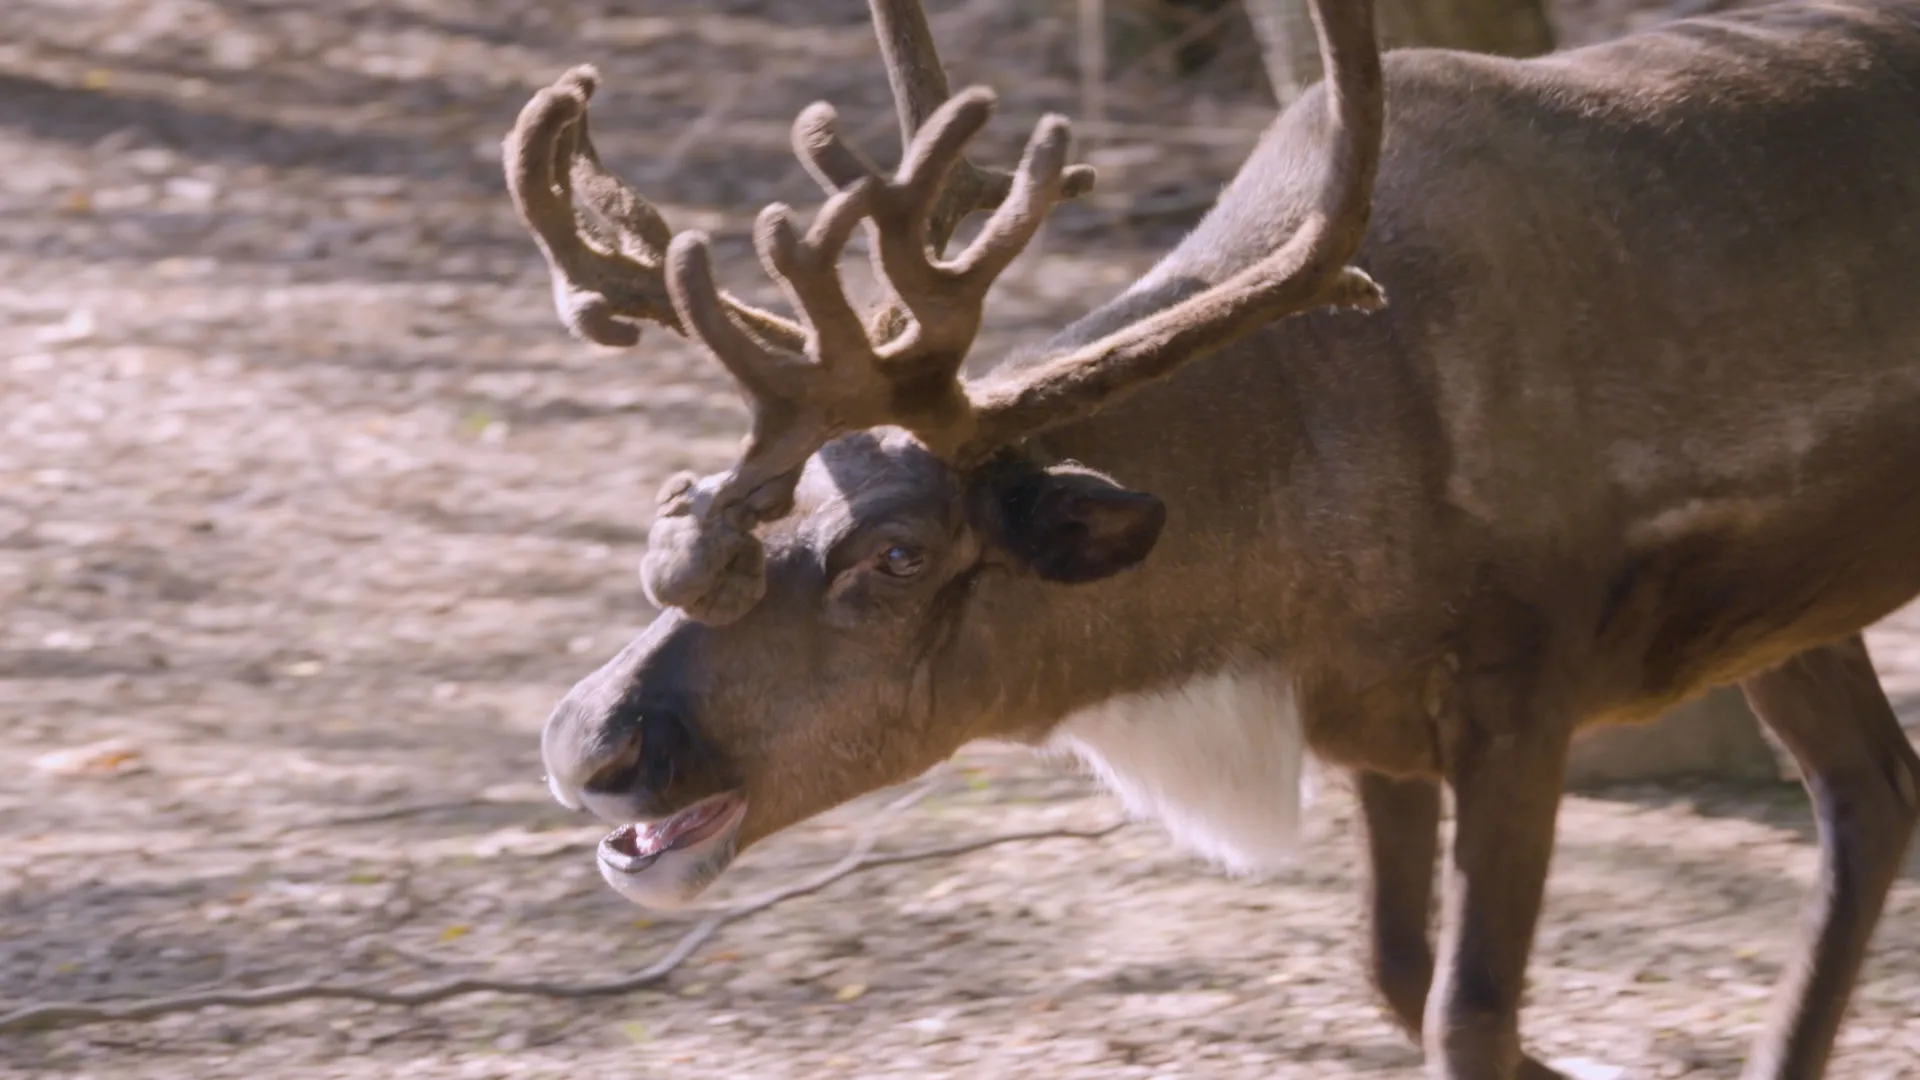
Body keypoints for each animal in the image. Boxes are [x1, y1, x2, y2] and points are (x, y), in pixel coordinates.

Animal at [507, 0, 1920, 1075]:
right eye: (756, 494)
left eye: (899, 555)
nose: (586, 741)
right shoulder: (1375, 723)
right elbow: (1393, 970)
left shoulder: (1524, 688)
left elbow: (1464, 1011)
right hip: (1788, 616)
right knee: (1871, 793)